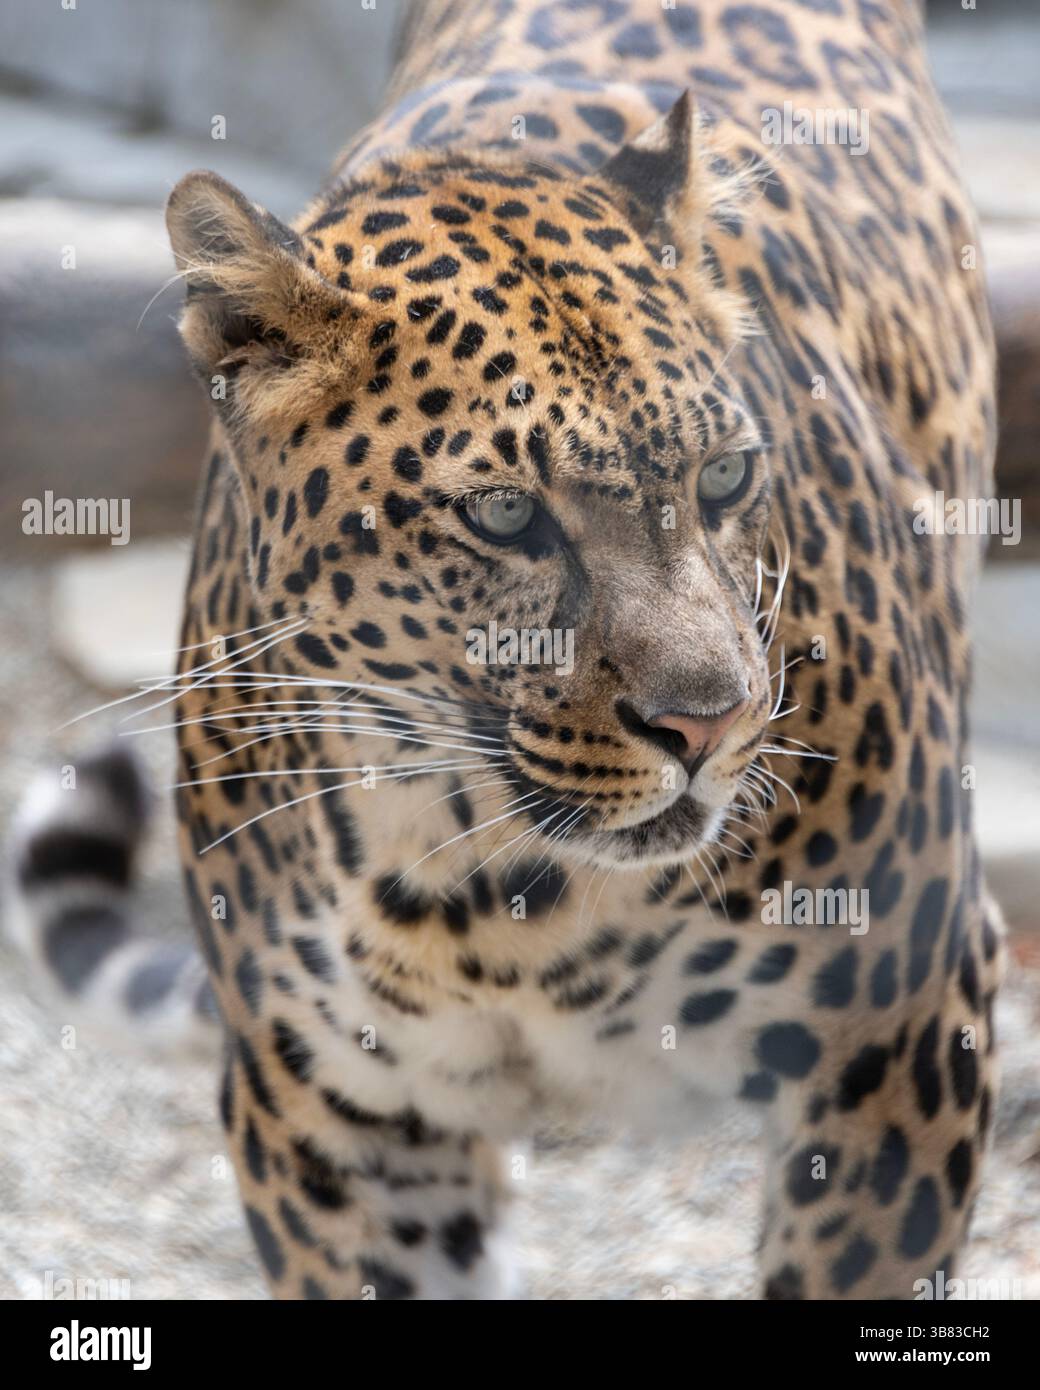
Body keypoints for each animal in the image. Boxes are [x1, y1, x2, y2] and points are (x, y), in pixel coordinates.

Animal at [12, 0, 1003, 1300]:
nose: (711, 723)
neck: (497, 900)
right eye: (501, 513)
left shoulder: (905, 1030)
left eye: (724, 476)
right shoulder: (333, 1122)